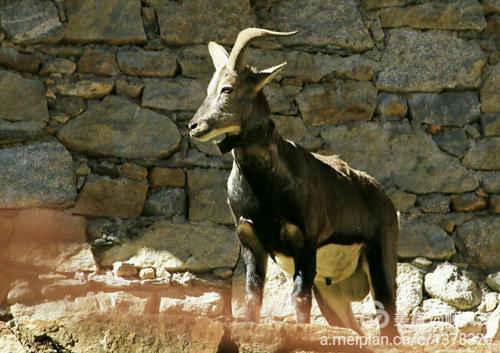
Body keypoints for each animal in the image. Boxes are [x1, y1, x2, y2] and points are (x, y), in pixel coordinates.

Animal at [188, 27, 398, 336]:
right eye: (208, 89)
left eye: (227, 88)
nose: (195, 126)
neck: (264, 189)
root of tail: (383, 199)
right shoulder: (250, 240)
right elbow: (252, 295)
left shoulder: (305, 243)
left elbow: (299, 297)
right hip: (330, 290)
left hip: (381, 264)